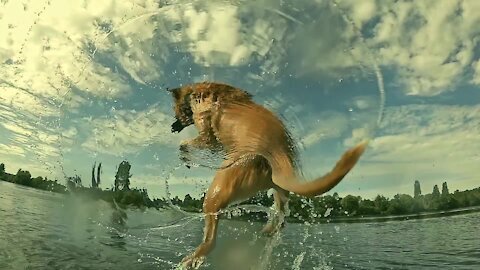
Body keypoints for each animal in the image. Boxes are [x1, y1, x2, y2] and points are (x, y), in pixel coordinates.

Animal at [169, 81, 368, 268]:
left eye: (175, 110)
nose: (172, 127)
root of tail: (278, 156)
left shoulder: (207, 133)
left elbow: (189, 142)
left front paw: (184, 152)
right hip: (278, 190)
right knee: (281, 217)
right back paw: (269, 230)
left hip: (218, 188)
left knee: (210, 238)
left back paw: (191, 259)